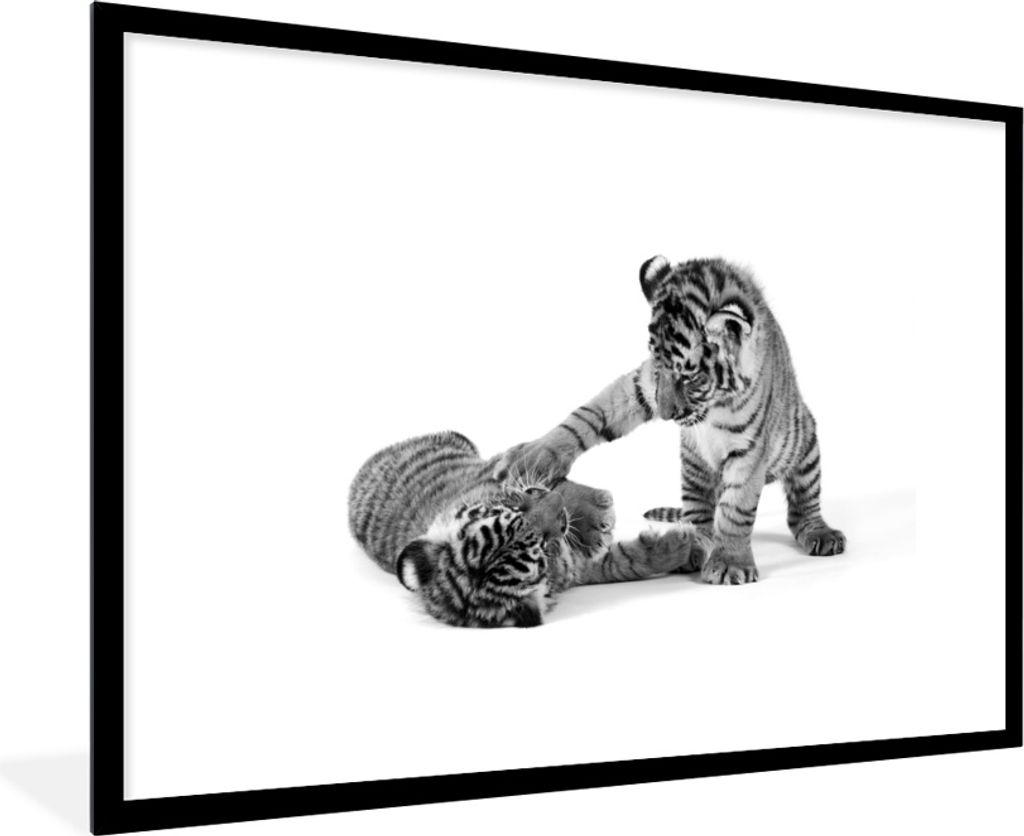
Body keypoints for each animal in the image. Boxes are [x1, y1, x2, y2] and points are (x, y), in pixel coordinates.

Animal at [348, 430, 699, 627]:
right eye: (544, 545)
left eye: (516, 509)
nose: (557, 503)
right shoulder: (577, 569)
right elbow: (625, 561)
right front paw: (682, 546)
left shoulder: (501, 476)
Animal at [499, 255, 846, 585]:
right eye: (658, 366)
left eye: (689, 376)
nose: (667, 415)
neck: (712, 405)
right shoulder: (642, 385)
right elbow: (592, 413)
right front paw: (535, 457)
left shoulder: (749, 449)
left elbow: (736, 509)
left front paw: (730, 563)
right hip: (693, 466)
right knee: (698, 513)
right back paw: (694, 546)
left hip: (805, 446)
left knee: (802, 507)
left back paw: (820, 534)